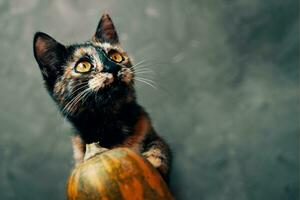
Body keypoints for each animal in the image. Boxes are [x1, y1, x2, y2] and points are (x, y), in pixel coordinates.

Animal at [32, 12, 171, 181]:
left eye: (116, 56)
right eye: (83, 66)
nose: (113, 67)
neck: (109, 123)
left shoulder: (150, 131)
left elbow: (159, 148)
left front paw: (152, 162)